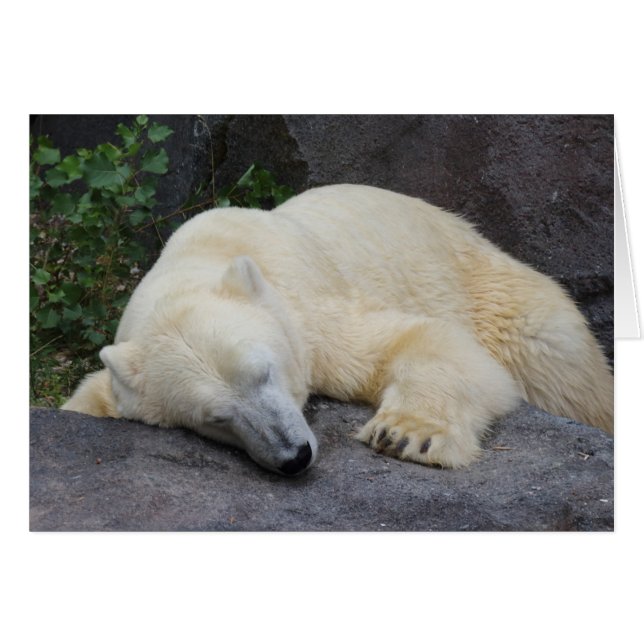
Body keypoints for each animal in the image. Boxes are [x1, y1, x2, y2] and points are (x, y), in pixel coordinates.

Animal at [62, 184, 614, 475]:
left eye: (264, 372)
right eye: (214, 417)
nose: (294, 456)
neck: (207, 255)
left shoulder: (312, 312)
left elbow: (423, 340)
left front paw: (407, 435)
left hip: (501, 294)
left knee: (558, 368)